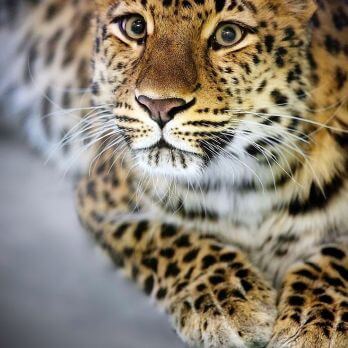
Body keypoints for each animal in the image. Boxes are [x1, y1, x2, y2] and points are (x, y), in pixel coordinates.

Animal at [0, 0, 348, 348]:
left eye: (228, 34)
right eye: (135, 27)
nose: (159, 106)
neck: (246, 183)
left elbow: (337, 255)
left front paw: (318, 323)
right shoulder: (101, 197)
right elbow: (167, 237)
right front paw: (226, 301)